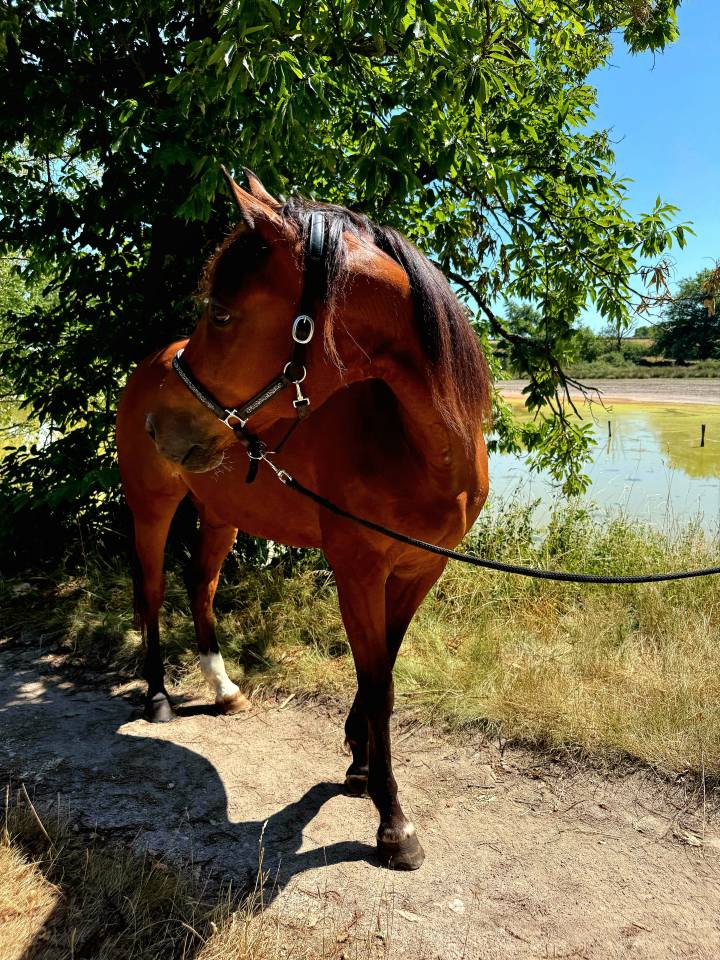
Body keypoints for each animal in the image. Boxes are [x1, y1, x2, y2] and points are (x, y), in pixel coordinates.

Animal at [115, 168, 491, 871]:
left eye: (222, 312)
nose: (161, 426)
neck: (414, 444)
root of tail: (148, 367)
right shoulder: (358, 571)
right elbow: (379, 685)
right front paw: (393, 824)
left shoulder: (417, 572)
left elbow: (383, 670)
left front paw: (361, 765)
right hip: (152, 506)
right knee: (151, 590)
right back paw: (158, 697)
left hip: (221, 515)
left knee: (200, 585)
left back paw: (224, 689)